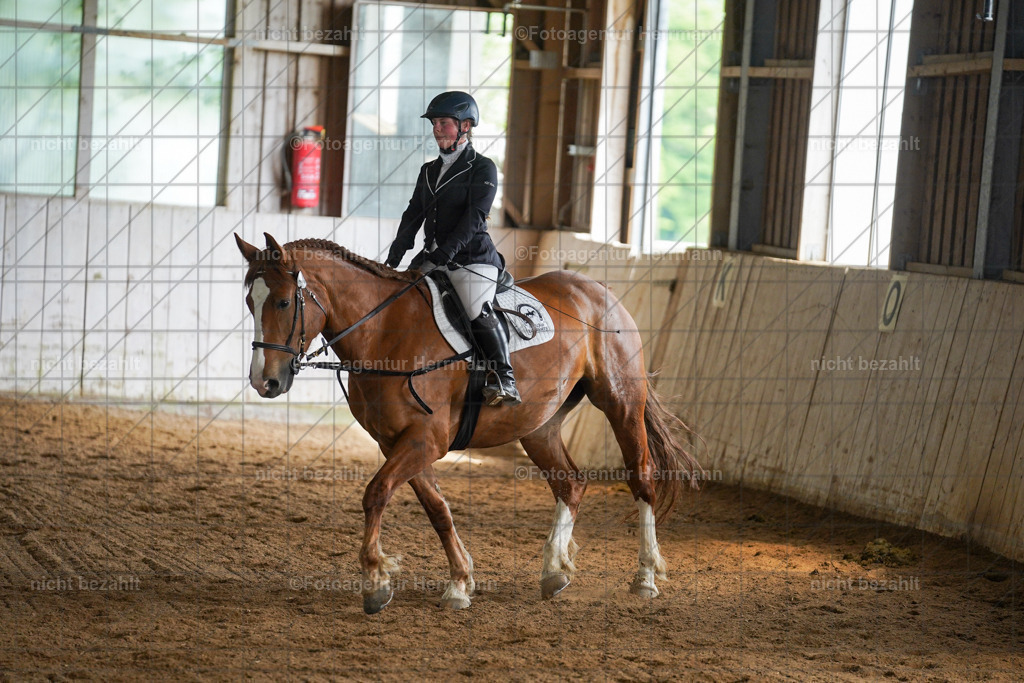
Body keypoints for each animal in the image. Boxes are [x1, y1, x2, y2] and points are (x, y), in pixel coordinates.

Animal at [235, 232, 702, 614]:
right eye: (249, 302)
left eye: (282, 302)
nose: (264, 381)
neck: (384, 332)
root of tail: (598, 289)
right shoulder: (397, 443)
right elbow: (437, 509)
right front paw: (460, 582)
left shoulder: (426, 439)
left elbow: (376, 493)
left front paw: (375, 583)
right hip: (539, 426)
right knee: (570, 483)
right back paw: (554, 571)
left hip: (621, 403)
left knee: (642, 479)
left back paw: (645, 577)